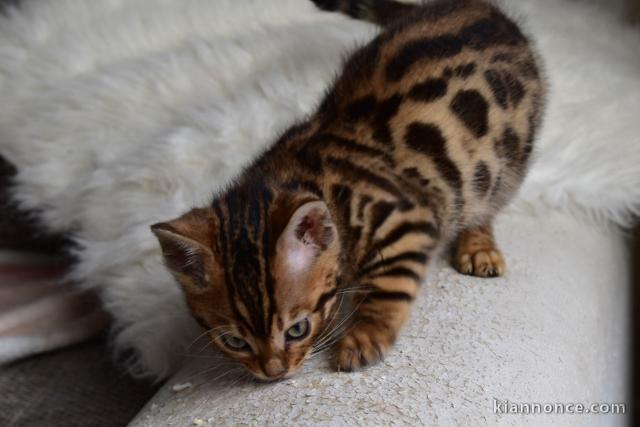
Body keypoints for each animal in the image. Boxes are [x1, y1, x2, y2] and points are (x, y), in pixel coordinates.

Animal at [151, 0, 544, 382]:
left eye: (297, 329)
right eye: (235, 342)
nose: (274, 373)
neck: (304, 177)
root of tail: (480, 7)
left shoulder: (405, 215)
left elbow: (389, 287)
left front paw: (363, 338)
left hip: (505, 161)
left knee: (488, 201)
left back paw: (478, 245)